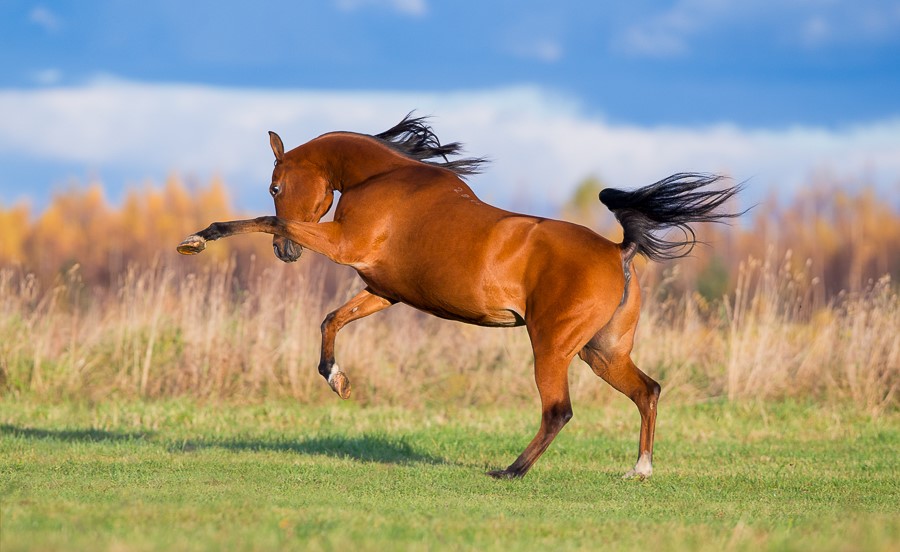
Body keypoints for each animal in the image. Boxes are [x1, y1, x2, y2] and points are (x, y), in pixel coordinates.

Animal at [176, 113, 740, 478]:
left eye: (275, 186)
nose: (286, 255)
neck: (386, 179)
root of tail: (620, 251)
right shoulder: (382, 290)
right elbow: (331, 320)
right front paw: (338, 381)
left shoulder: (342, 245)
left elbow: (264, 223)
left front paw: (198, 239)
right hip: (600, 350)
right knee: (648, 390)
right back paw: (639, 470)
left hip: (553, 345)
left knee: (559, 410)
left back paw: (510, 472)